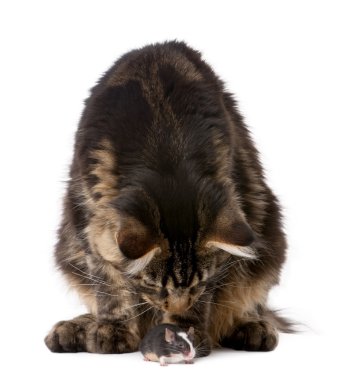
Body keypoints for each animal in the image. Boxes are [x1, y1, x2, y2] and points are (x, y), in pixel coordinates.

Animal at [44, 40, 292, 354]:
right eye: (152, 285)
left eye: (197, 284)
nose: (174, 306)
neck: (166, 151)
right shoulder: (86, 213)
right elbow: (109, 285)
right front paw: (112, 328)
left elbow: (205, 301)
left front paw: (183, 329)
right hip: (67, 247)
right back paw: (75, 328)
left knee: (247, 307)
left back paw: (251, 327)